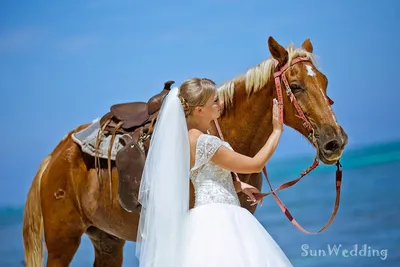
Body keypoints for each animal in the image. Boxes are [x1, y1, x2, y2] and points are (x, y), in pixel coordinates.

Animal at [22, 36, 346, 266]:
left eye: (325, 82)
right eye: (296, 85)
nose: (335, 141)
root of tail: (54, 157)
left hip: (107, 242)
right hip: (63, 242)